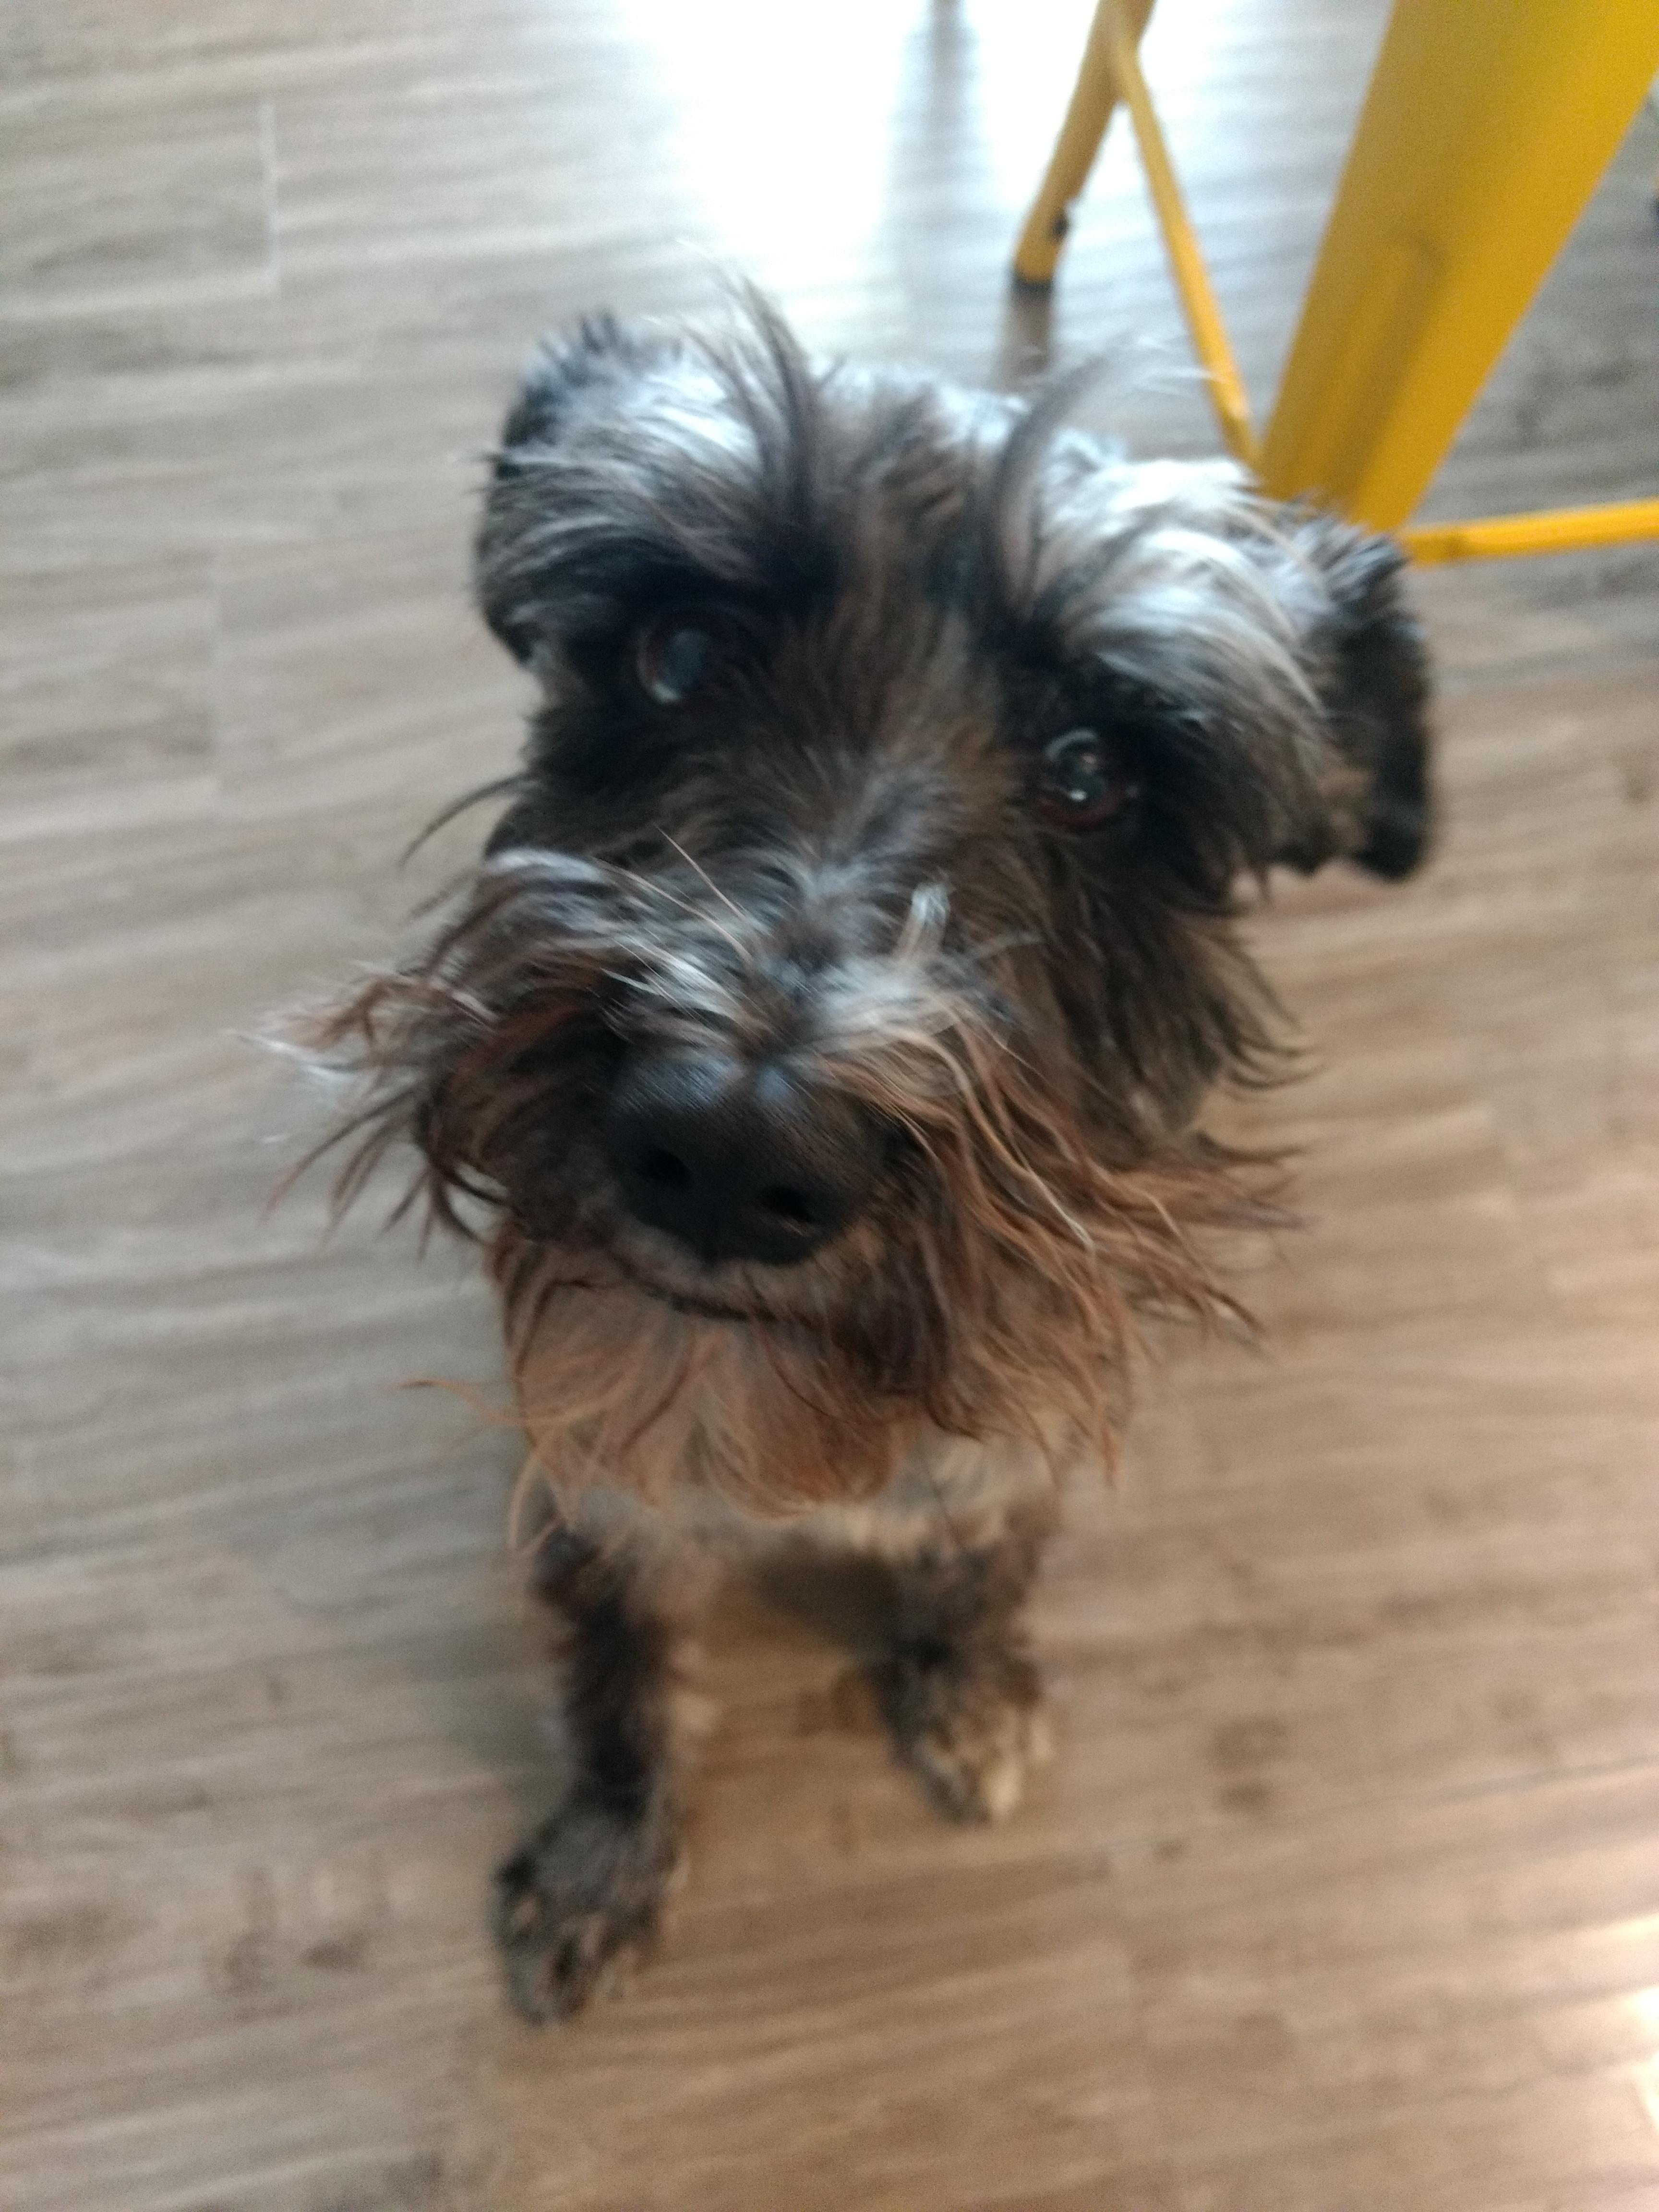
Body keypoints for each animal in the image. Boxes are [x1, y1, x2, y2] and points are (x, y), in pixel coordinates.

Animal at [310, 299, 1433, 2026]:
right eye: (676, 654)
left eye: (1097, 773)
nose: (727, 1148)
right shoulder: (604, 1501)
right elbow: (621, 1685)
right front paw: (603, 1862)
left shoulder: (1009, 1450)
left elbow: (979, 1573)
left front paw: (969, 1696)